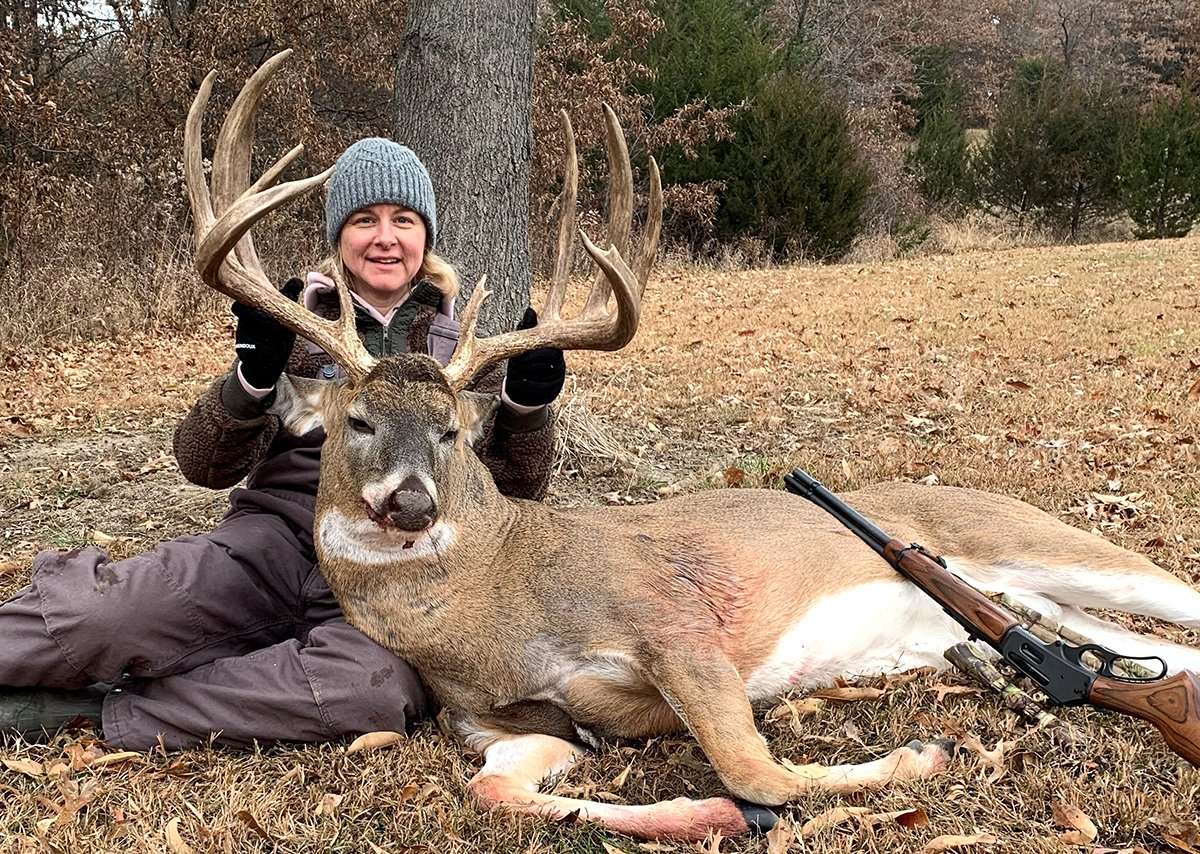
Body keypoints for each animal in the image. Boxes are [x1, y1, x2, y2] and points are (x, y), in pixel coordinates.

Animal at [183, 52, 1200, 841]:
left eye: (450, 432)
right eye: (356, 422)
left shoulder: (675, 621)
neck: (497, 607)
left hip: (1042, 537)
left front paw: (921, 752)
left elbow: (760, 772)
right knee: (1145, 653)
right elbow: (496, 788)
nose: (410, 501)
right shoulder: (512, 722)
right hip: (1041, 599)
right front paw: (700, 816)